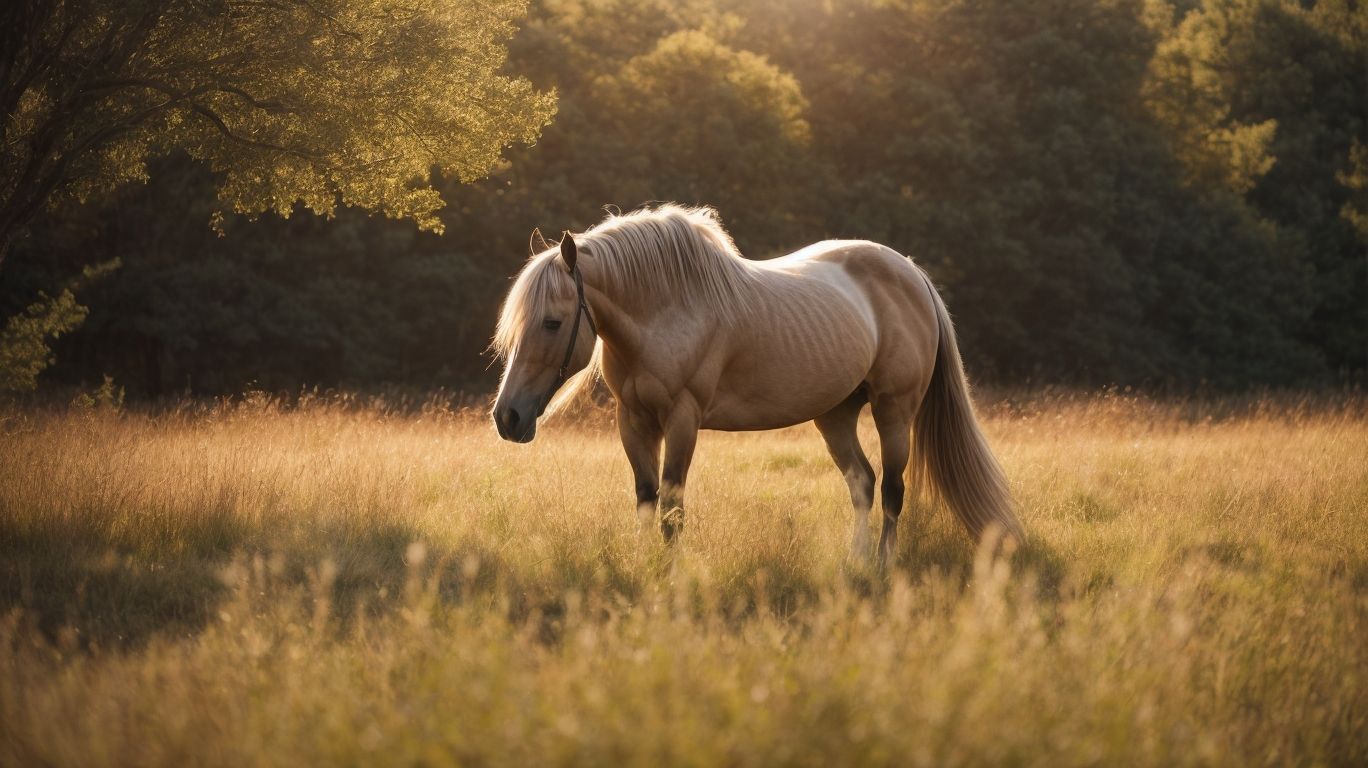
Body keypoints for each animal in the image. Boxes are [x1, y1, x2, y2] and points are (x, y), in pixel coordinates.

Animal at [491, 204, 1022, 565]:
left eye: (552, 323)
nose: (507, 417)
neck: (666, 308)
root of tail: (912, 273)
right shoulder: (634, 420)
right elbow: (646, 500)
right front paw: (643, 567)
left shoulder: (682, 420)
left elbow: (672, 508)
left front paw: (669, 576)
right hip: (836, 415)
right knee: (862, 484)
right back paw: (855, 562)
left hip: (894, 410)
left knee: (892, 491)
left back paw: (883, 566)